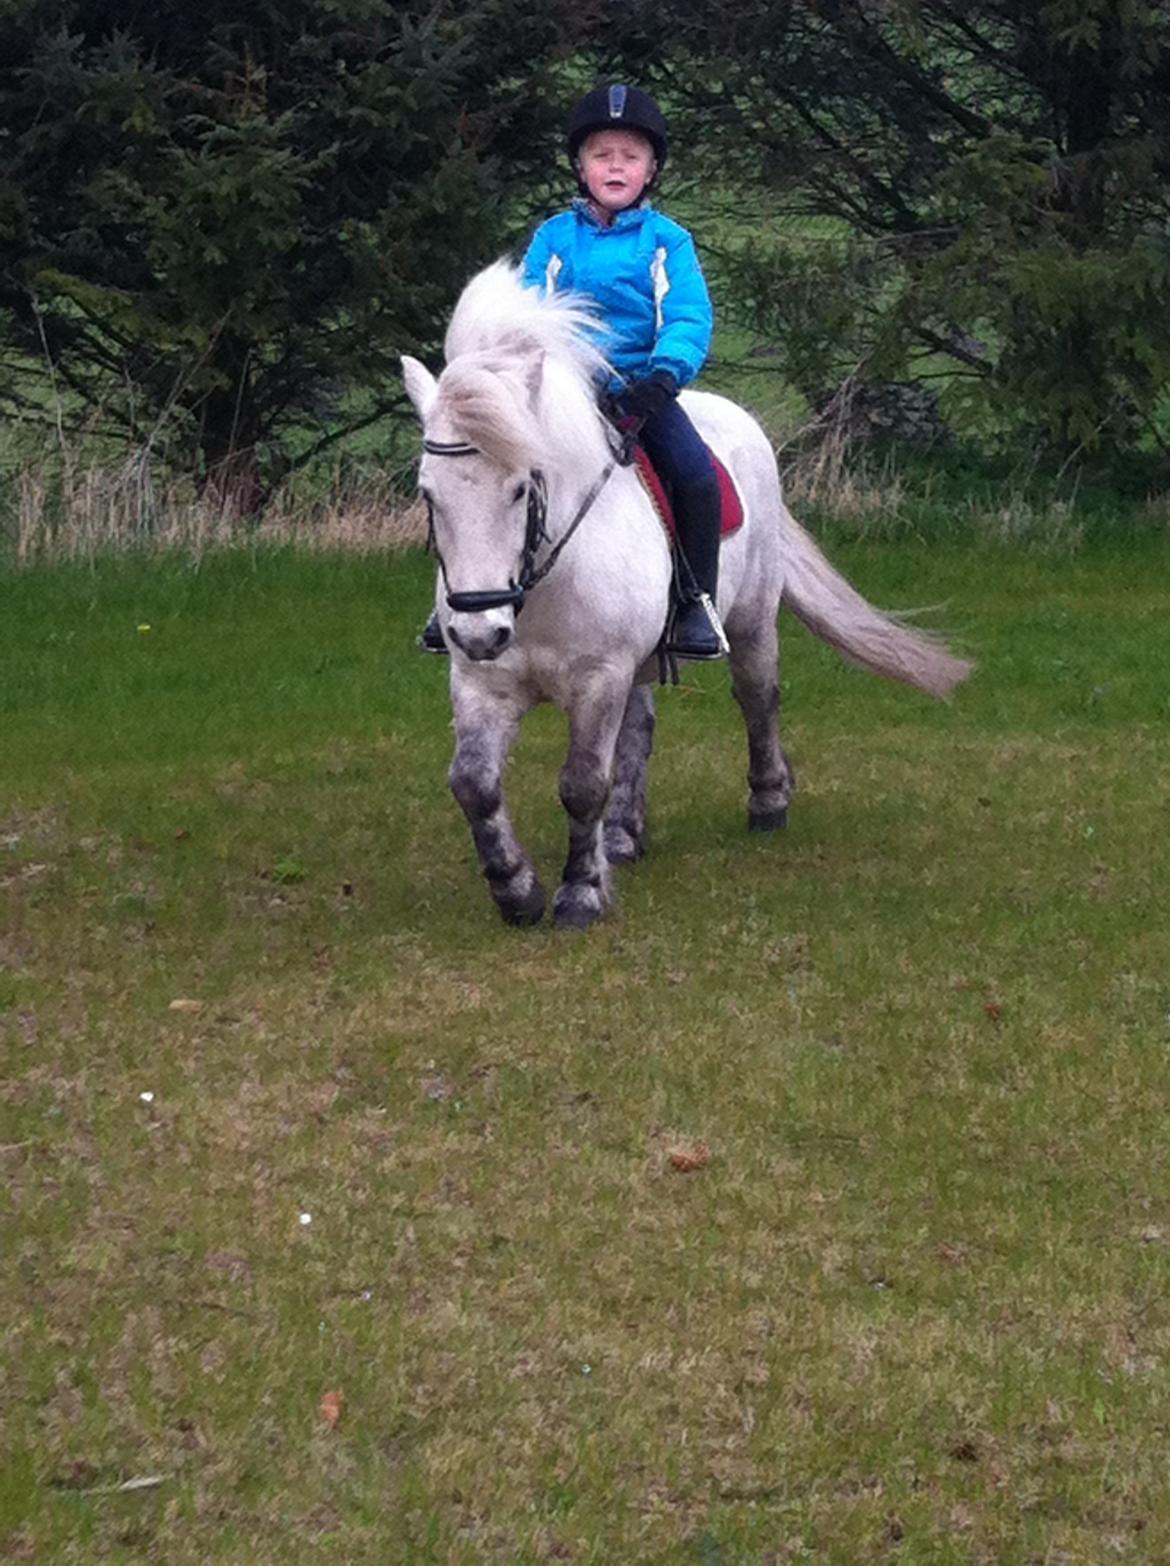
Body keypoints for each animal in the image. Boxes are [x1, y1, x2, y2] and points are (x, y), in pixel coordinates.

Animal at [404, 261, 971, 920]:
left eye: (522, 487)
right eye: (428, 493)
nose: (479, 631)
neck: (543, 584)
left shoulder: (599, 676)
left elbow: (581, 784)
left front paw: (580, 894)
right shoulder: (482, 682)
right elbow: (473, 783)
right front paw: (516, 890)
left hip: (750, 621)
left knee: (758, 698)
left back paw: (768, 804)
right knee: (641, 727)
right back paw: (623, 835)